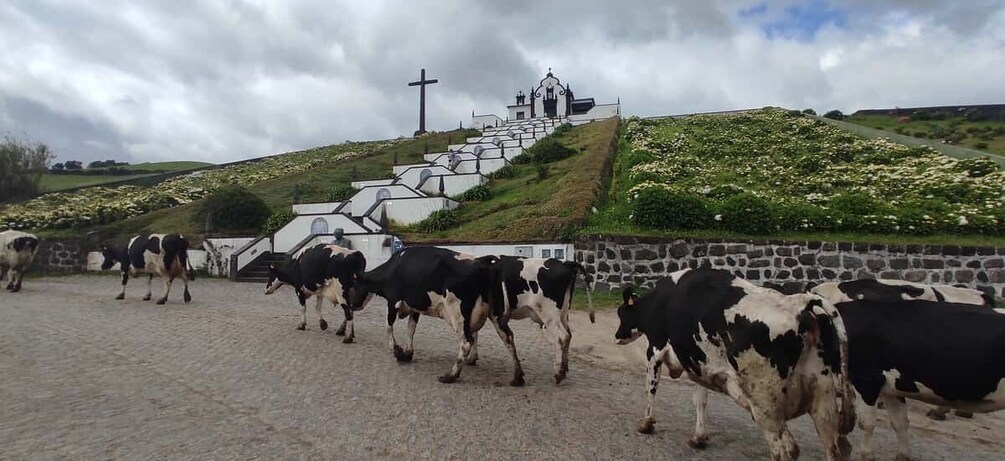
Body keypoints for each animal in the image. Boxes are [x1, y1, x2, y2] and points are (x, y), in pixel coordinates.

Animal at [347, 245, 526, 385]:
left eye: (354, 284)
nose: (351, 305)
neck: (393, 268)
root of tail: (483, 261)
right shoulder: (415, 308)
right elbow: (410, 329)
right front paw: (407, 353)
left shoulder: (393, 301)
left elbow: (388, 326)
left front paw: (396, 350)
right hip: (496, 314)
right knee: (507, 337)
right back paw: (517, 376)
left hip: (458, 314)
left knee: (466, 342)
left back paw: (451, 375)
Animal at [611, 267, 856, 461]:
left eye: (622, 312)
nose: (617, 335)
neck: (659, 302)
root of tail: (799, 303)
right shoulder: (698, 360)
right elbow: (700, 400)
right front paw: (699, 437)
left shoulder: (655, 348)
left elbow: (650, 388)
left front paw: (646, 423)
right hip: (823, 398)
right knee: (835, 447)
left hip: (766, 404)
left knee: (786, 449)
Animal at [836, 299, 1005, 461]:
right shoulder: (891, 388)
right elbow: (900, 422)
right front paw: (903, 456)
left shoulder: (867, 380)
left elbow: (867, 423)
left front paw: (867, 455)